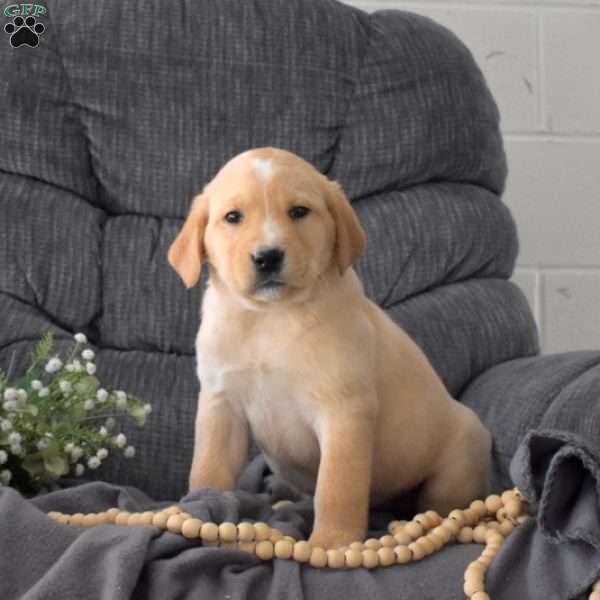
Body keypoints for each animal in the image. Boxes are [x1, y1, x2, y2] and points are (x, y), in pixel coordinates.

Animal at [169, 148, 492, 552]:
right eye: (233, 217)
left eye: (299, 211)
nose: (267, 257)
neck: (269, 318)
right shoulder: (221, 404)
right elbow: (208, 468)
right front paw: (199, 506)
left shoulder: (344, 411)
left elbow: (337, 487)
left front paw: (331, 542)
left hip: (455, 464)